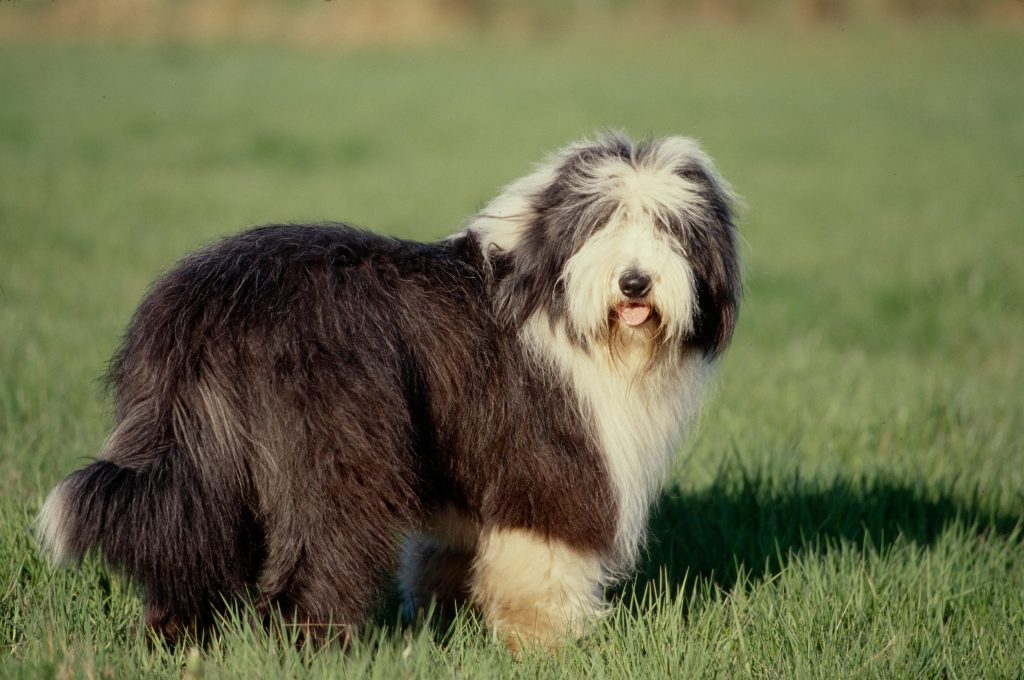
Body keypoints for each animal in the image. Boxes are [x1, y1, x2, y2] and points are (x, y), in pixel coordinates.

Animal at [36, 133, 741, 647]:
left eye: (670, 226)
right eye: (605, 221)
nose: (635, 282)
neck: (559, 298)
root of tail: (209, 305)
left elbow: (450, 553)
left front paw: (444, 617)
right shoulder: (549, 456)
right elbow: (544, 559)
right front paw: (552, 643)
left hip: (203, 456)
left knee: (183, 542)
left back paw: (175, 639)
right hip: (335, 450)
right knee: (315, 559)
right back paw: (312, 646)